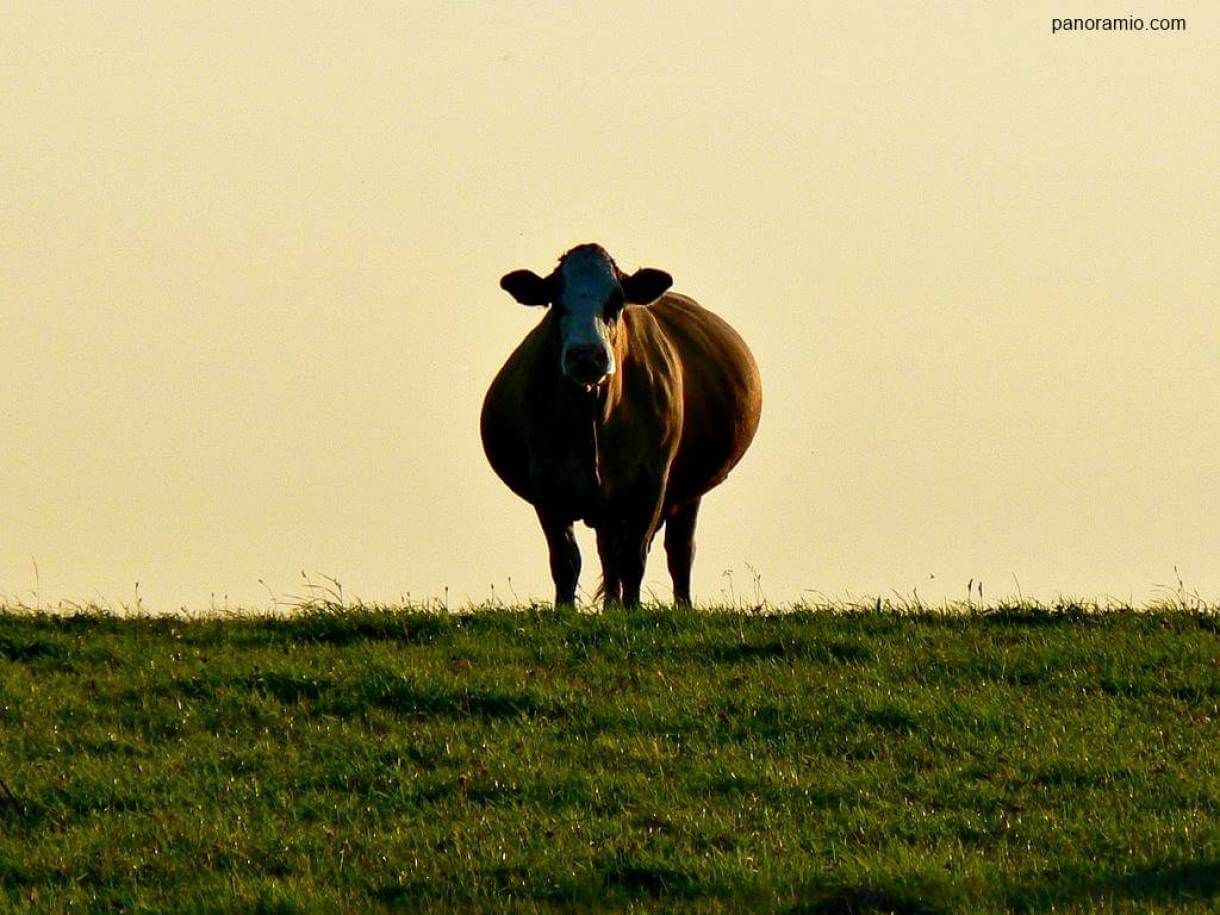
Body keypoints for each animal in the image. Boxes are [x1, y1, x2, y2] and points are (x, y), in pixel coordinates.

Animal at [480, 243, 762, 608]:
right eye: (556, 301)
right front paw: (565, 610)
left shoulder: (650, 480)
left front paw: (632, 609)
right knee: (607, 552)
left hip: (686, 492)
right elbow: (566, 559)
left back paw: (679, 605)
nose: (587, 356)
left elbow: (633, 556)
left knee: (678, 550)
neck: (593, 416)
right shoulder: (546, 484)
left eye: (617, 300)